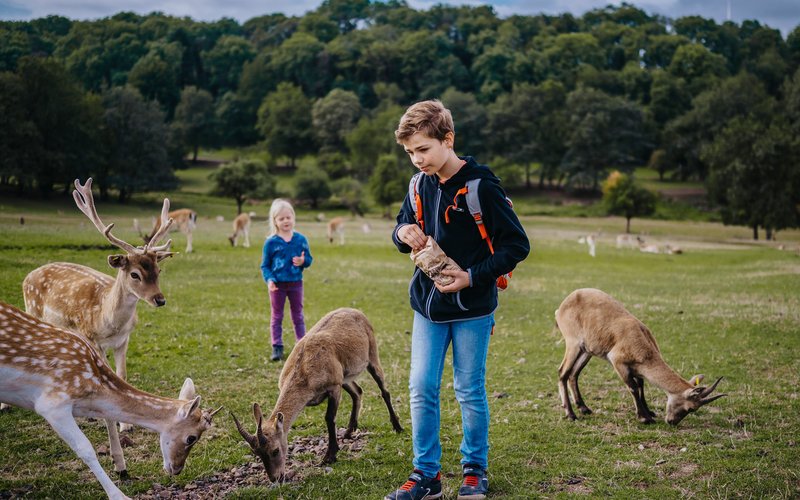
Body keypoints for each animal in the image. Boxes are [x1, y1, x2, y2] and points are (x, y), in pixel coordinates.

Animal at [0, 300, 222, 500]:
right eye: (191, 438)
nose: (177, 469)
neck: (89, 397)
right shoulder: (52, 403)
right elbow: (85, 449)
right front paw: (119, 496)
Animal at [14, 178, 174, 474]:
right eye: (135, 274)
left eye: (158, 271)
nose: (160, 299)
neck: (108, 320)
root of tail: (29, 274)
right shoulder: (92, 340)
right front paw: (118, 459)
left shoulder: (124, 340)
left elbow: (123, 376)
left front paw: (127, 425)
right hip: (33, 310)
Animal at [234, 306, 404, 482]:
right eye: (257, 453)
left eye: (275, 450)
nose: (276, 478)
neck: (304, 371)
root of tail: (356, 311)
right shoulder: (337, 382)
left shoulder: (334, 387)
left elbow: (329, 418)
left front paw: (329, 456)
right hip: (344, 377)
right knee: (357, 391)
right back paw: (349, 431)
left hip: (372, 356)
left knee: (384, 391)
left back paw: (397, 427)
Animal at [556, 290, 724, 426]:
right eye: (691, 408)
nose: (672, 422)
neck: (640, 341)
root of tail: (561, 308)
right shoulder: (618, 362)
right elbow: (633, 387)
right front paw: (645, 418)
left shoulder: (636, 367)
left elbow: (641, 384)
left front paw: (649, 412)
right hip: (573, 343)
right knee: (562, 372)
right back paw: (571, 414)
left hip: (586, 351)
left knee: (574, 374)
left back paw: (584, 408)